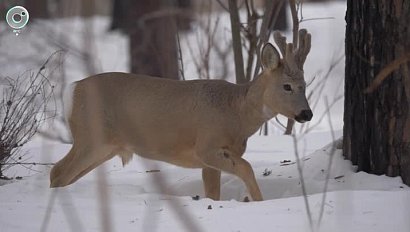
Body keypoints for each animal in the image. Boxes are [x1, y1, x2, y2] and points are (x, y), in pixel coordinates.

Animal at [50, 29, 310, 200]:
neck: (237, 112)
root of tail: (72, 90)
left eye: (305, 85)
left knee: (62, 173)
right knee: (58, 171)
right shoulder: (206, 145)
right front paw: (258, 201)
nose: (307, 113)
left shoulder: (211, 159)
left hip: (105, 146)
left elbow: (212, 193)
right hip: (91, 136)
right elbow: (246, 168)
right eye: (287, 86)